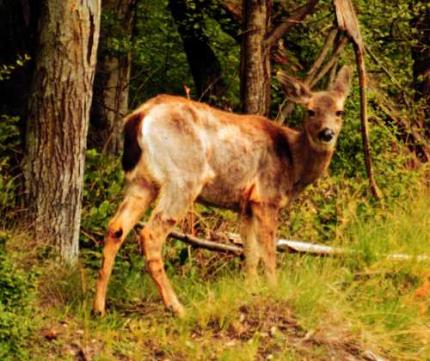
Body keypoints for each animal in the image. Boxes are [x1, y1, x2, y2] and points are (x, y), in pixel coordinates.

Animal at [93, 64, 352, 316]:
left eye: (339, 112)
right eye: (310, 111)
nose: (327, 133)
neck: (293, 162)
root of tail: (140, 115)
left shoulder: (245, 205)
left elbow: (251, 253)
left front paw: (250, 292)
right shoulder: (266, 197)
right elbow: (268, 252)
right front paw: (274, 292)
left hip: (142, 181)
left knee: (116, 227)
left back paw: (99, 308)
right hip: (184, 177)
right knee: (150, 234)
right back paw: (176, 307)